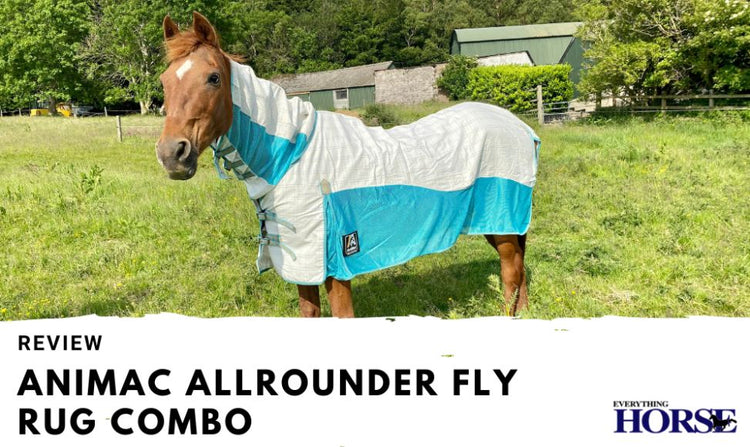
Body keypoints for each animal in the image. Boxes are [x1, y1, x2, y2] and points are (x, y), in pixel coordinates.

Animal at [156, 12, 540, 318]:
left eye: (213, 78)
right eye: (164, 82)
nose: (171, 154)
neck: (291, 157)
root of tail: (519, 126)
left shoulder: (335, 264)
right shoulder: (304, 264)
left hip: (503, 221)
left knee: (510, 274)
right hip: (498, 224)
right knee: (519, 272)